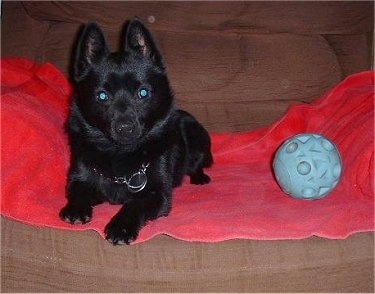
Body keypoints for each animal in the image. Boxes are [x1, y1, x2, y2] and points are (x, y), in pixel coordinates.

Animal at [59, 17, 213, 243]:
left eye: (143, 93)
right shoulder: (78, 176)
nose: (125, 128)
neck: (120, 153)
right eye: (102, 96)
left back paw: (199, 178)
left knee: (196, 165)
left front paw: (121, 227)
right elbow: (79, 190)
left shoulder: (157, 194)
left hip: (196, 139)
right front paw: (76, 209)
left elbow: (135, 204)